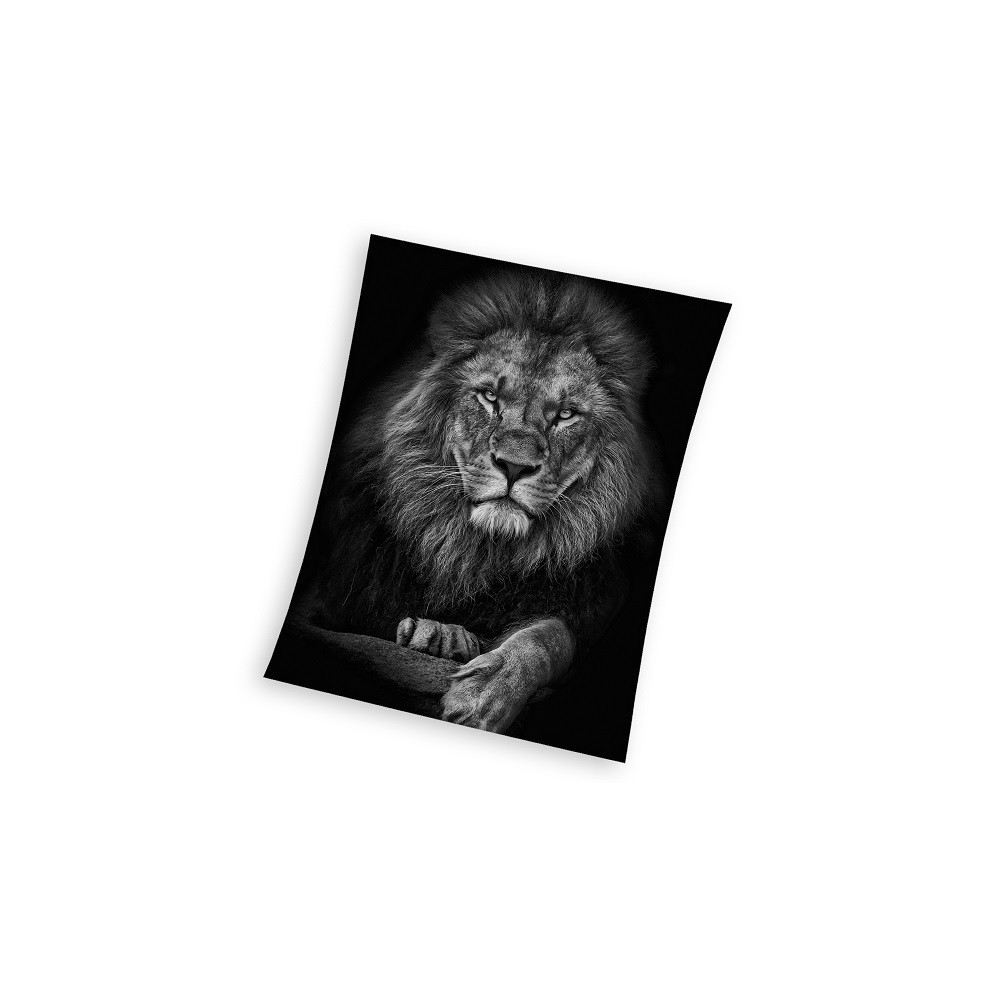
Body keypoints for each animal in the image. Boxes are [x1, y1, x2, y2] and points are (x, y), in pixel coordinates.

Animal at [275, 267, 666, 735]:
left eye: (566, 415)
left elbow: (549, 637)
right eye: (490, 397)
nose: (514, 466)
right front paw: (439, 636)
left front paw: (484, 692)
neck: (475, 553)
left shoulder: (585, 605)